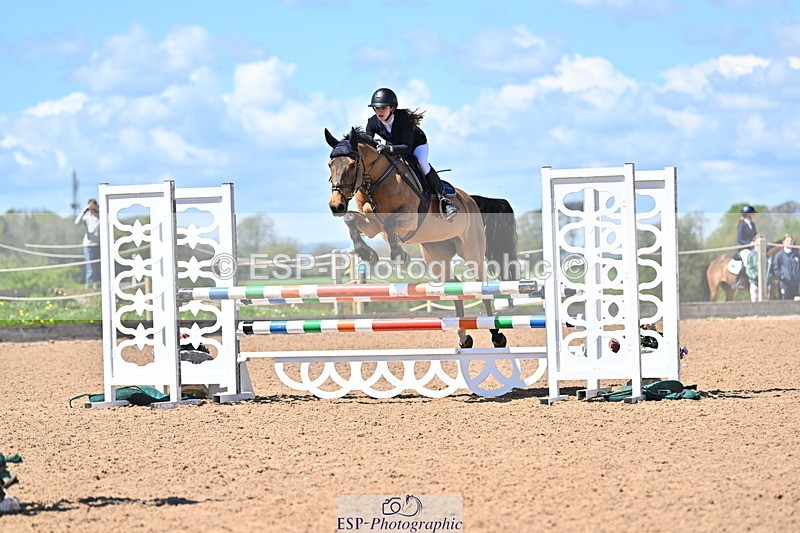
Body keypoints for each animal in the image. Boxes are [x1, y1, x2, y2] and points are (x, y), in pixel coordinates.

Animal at [324, 126, 519, 349]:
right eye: (330, 165)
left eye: (352, 164)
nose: (336, 205)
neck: (375, 181)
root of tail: (471, 200)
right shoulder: (372, 225)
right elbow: (351, 219)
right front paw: (367, 253)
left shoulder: (408, 217)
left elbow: (390, 223)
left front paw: (400, 256)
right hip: (436, 255)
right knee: (454, 286)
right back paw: (464, 338)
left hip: (471, 250)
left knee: (480, 288)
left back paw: (497, 337)